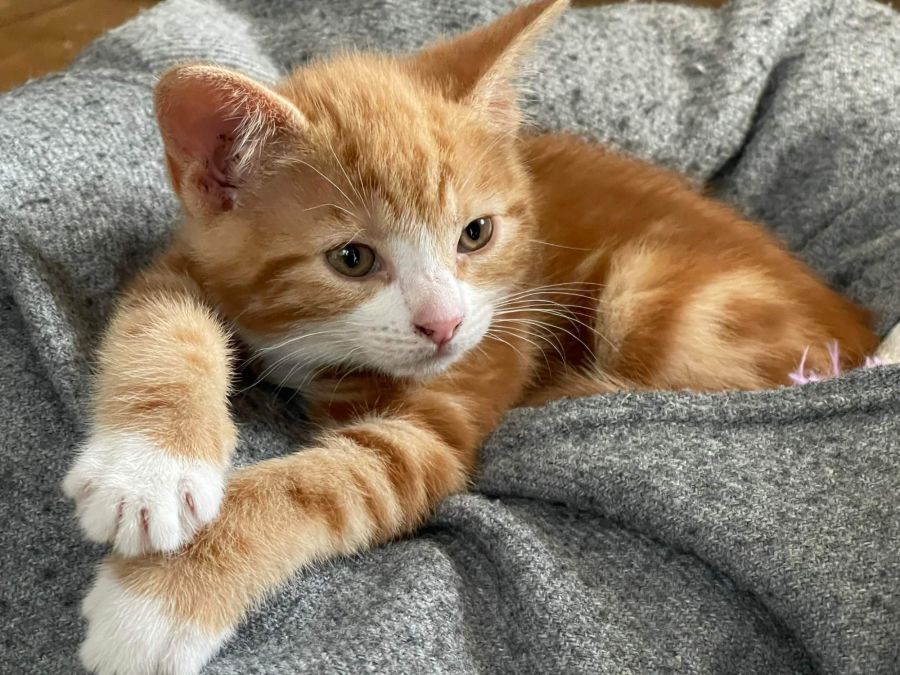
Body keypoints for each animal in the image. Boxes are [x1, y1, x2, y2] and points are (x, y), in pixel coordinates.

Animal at [61, 1, 878, 673]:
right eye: (351, 259)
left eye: (476, 233)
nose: (444, 323)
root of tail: (861, 333)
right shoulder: (189, 261)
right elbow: (162, 315)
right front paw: (148, 470)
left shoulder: (443, 414)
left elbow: (322, 484)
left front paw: (156, 602)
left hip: (653, 289)